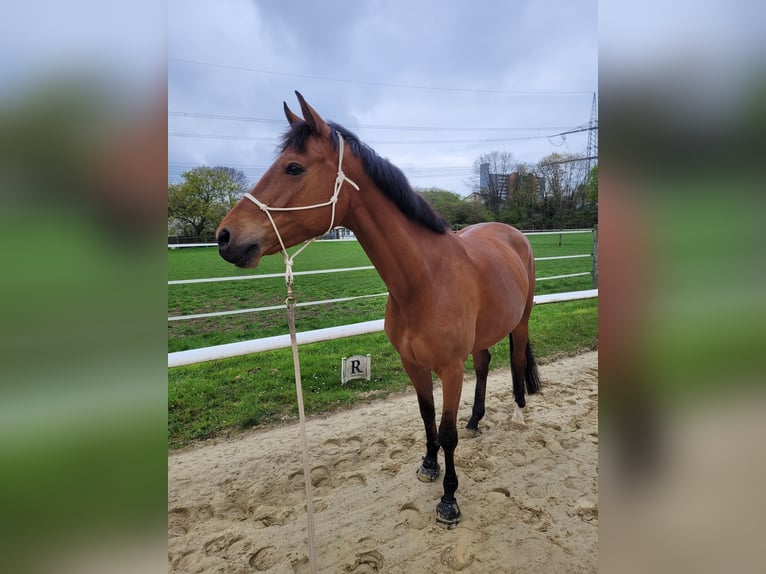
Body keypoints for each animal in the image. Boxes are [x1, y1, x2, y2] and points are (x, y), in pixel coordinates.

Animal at [216, 92, 541, 526]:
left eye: (293, 167)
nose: (225, 237)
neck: (425, 280)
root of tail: (512, 233)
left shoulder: (450, 369)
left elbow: (446, 431)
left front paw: (449, 499)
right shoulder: (412, 364)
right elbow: (426, 417)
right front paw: (429, 465)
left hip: (520, 322)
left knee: (517, 360)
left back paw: (519, 415)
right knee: (485, 362)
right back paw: (476, 420)